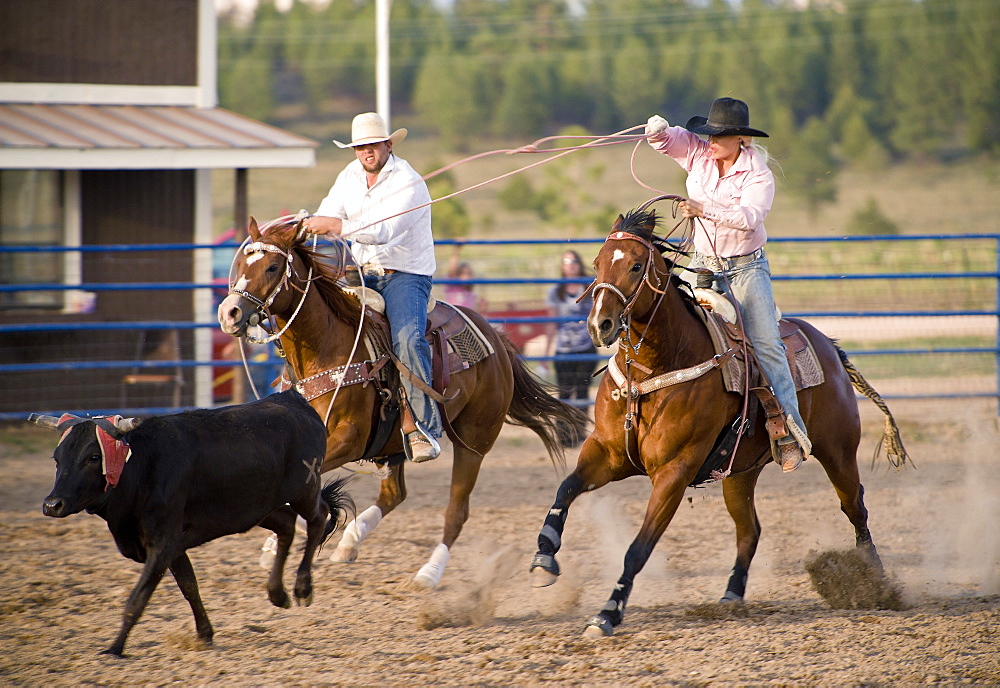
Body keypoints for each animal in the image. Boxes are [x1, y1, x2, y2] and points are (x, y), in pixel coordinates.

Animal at [219, 218, 588, 588]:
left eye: (273, 266)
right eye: (240, 266)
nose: (229, 313)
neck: (326, 346)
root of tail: (495, 338)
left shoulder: (349, 439)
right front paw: (274, 544)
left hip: (474, 441)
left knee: (456, 511)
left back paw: (429, 572)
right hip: (393, 442)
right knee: (394, 494)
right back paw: (350, 542)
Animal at [528, 208, 912, 636]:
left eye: (636, 265)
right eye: (596, 263)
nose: (600, 325)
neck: (653, 372)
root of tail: (830, 346)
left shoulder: (674, 472)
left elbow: (638, 549)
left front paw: (608, 613)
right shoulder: (607, 454)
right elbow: (566, 488)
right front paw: (544, 557)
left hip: (838, 452)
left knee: (855, 507)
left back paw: (874, 578)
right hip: (740, 473)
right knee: (750, 531)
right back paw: (731, 595)